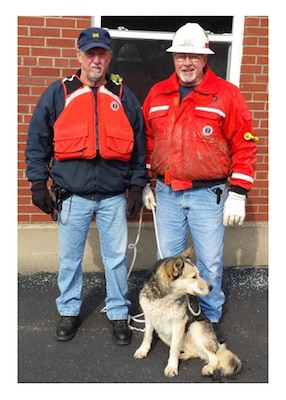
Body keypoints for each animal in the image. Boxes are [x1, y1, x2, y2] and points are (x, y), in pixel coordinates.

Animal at [134, 247, 241, 378]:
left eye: (198, 274)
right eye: (194, 277)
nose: (211, 287)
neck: (164, 297)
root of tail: (217, 344)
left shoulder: (178, 324)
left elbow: (174, 349)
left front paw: (171, 366)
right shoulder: (149, 318)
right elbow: (147, 336)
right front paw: (143, 350)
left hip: (195, 328)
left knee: (214, 357)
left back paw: (209, 367)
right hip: (164, 334)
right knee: (195, 352)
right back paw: (183, 356)